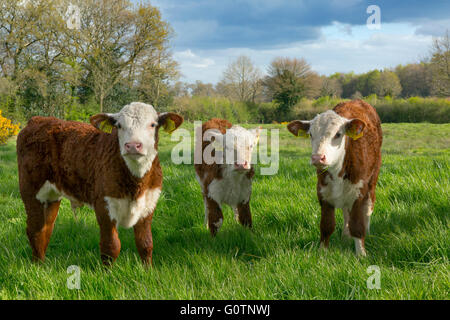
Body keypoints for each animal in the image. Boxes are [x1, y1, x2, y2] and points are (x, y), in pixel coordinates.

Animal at [17, 102, 183, 264]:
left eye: (153, 124)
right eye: (119, 125)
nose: (133, 145)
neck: (136, 183)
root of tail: (38, 119)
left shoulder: (149, 204)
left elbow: (145, 243)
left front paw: (146, 269)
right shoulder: (104, 205)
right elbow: (111, 246)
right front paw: (108, 272)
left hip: (51, 196)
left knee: (46, 228)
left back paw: (42, 263)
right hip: (30, 191)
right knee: (35, 229)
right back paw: (37, 265)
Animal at [290, 100, 382, 255]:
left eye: (338, 134)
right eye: (311, 134)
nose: (317, 158)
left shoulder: (358, 191)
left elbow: (357, 226)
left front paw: (361, 254)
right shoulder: (323, 192)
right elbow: (326, 226)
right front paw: (322, 252)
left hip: (373, 178)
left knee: (369, 206)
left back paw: (367, 232)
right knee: (346, 212)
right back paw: (345, 235)